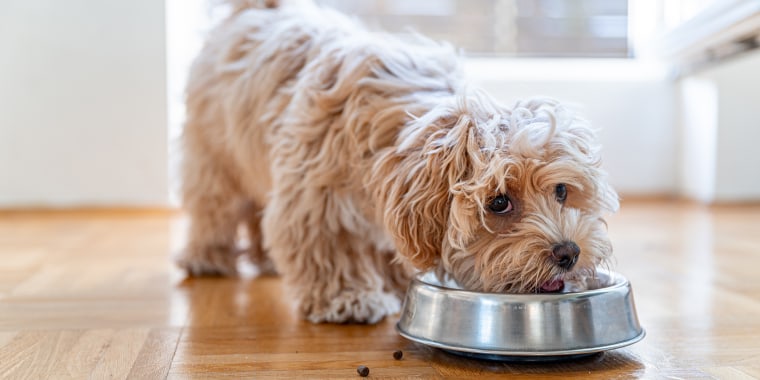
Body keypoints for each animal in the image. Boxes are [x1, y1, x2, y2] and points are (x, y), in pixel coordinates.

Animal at [177, 0, 616, 324]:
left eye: (561, 191)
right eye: (499, 202)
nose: (568, 253)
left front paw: (393, 280)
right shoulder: (315, 196)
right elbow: (328, 244)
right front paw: (348, 297)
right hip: (214, 152)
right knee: (214, 205)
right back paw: (208, 256)